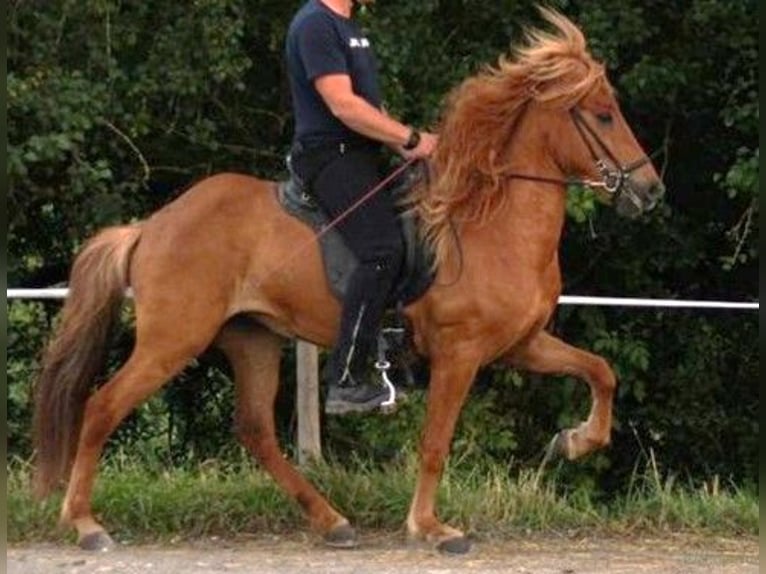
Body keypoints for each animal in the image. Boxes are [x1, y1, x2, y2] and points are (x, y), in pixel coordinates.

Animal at [32, 8, 664, 554]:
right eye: (603, 114)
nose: (650, 190)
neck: (490, 222)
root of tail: (151, 226)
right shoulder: (459, 353)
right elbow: (435, 443)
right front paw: (432, 528)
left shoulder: (520, 344)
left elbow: (601, 372)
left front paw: (576, 441)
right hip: (173, 340)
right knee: (101, 407)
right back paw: (85, 524)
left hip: (253, 338)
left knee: (256, 430)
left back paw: (331, 520)